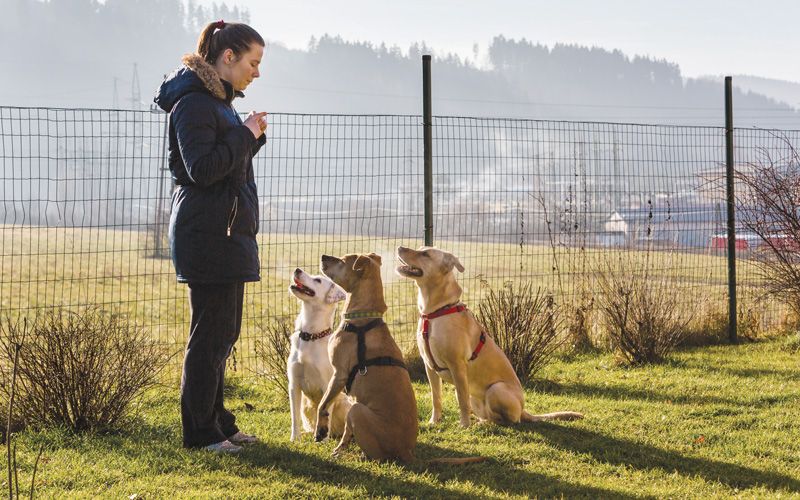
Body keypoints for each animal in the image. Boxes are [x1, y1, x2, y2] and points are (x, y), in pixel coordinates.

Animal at [288, 268, 350, 440]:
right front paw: (295, 439)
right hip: (305, 406)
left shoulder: (326, 384)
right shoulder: (293, 385)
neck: (310, 336)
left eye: (318, 280)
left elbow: (325, 411)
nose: (297, 269)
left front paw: (324, 439)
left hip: (344, 402)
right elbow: (294, 417)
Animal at [312, 252, 418, 462]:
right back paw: (342, 449)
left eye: (342, 260)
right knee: (349, 429)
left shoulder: (339, 374)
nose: (323, 255)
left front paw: (320, 430)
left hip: (357, 410)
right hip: (355, 408)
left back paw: (360, 455)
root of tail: (405, 451)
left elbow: (322, 404)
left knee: (377, 456)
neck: (362, 319)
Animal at [398, 245, 580, 426]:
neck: (435, 312)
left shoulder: (457, 366)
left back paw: (486, 424)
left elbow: (461, 400)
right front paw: (434, 422)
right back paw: (481, 422)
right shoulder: (429, 367)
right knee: (490, 416)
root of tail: (523, 410)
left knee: (508, 420)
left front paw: (464, 425)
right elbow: (436, 398)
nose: (400, 247)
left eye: (425, 254)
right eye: (420, 249)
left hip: (496, 389)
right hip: (476, 397)